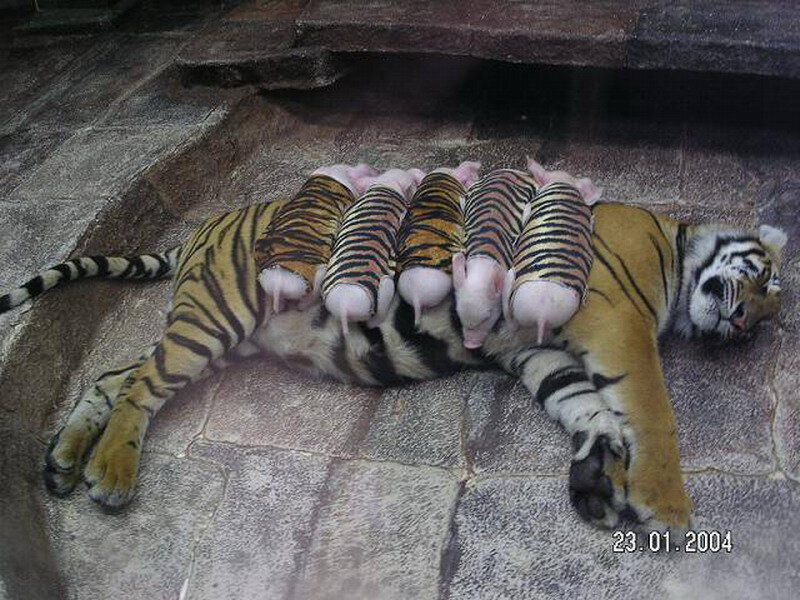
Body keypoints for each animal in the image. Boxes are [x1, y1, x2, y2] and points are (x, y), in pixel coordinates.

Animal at [0, 200, 786, 533]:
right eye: (767, 281)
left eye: (764, 317)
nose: (743, 325)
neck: (676, 248)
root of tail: (209, 223)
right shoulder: (617, 324)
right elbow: (651, 410)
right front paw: (667, 508)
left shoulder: (538, 351)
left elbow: (587, 409)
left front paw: (597, 478)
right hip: (217, 315)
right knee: (139, 386)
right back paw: (110, 474)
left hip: (220, 335)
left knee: (116, 376)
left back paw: (66, 462)